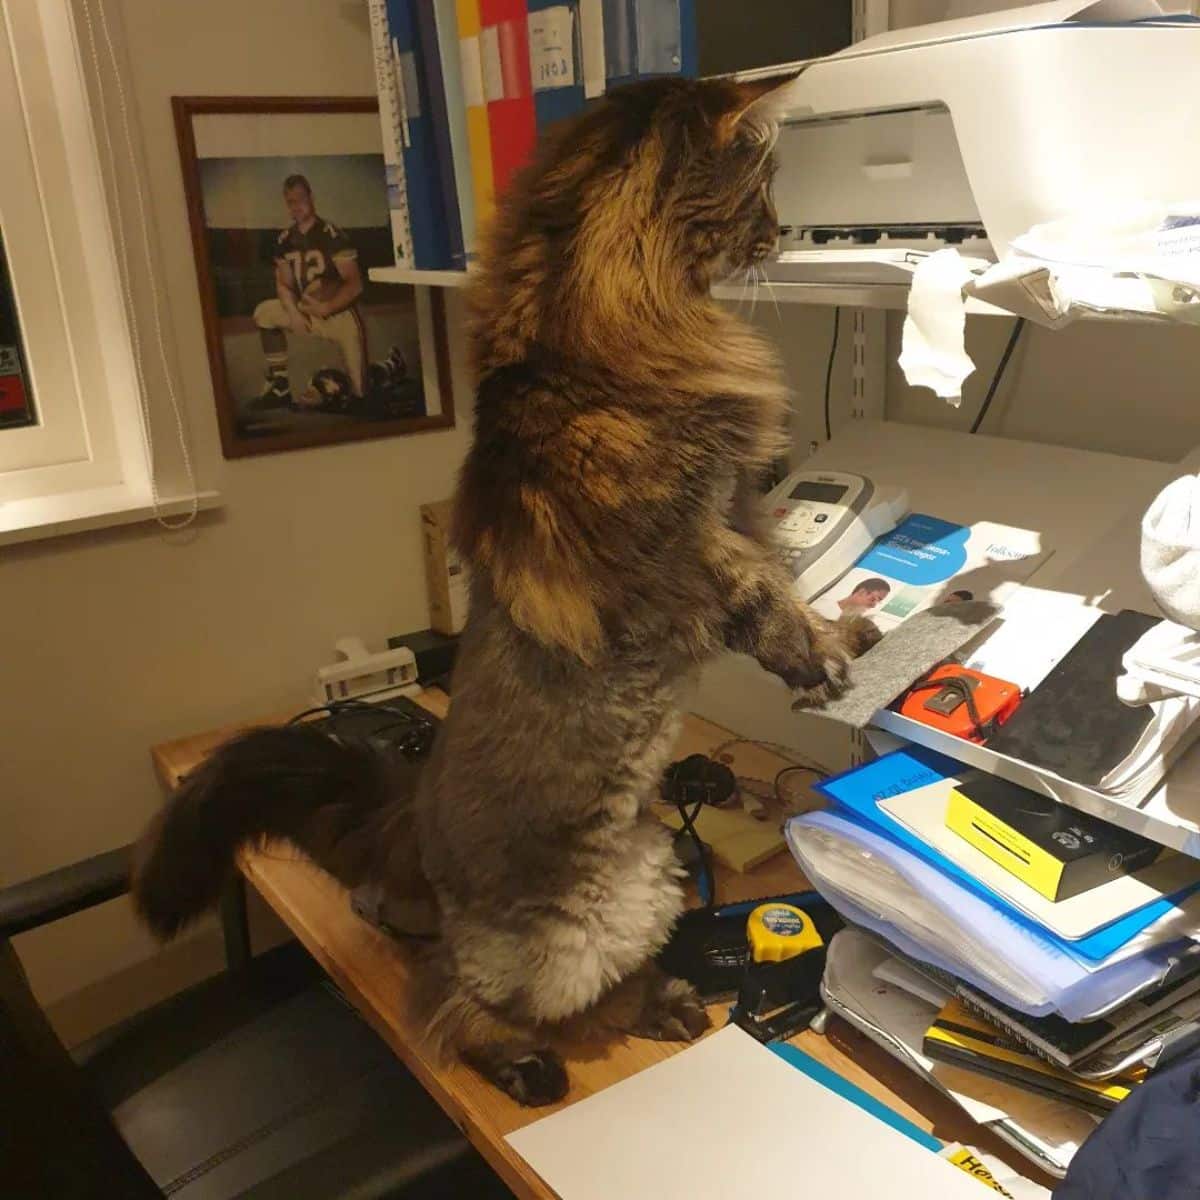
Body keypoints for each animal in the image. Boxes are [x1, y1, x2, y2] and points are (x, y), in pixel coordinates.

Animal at [133, 72, 883, 1104]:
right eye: (761, 187)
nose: (781, 231)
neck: (591, 336)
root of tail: (409, 816)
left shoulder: (739, 503)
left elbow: (788, 575)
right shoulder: (689, 545)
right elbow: (768, 606)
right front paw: (828, 658)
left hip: (654, 874)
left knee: (599, 986)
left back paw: (669, 1004)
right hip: (555, 943)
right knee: (451, 1005)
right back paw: (529, 1066)